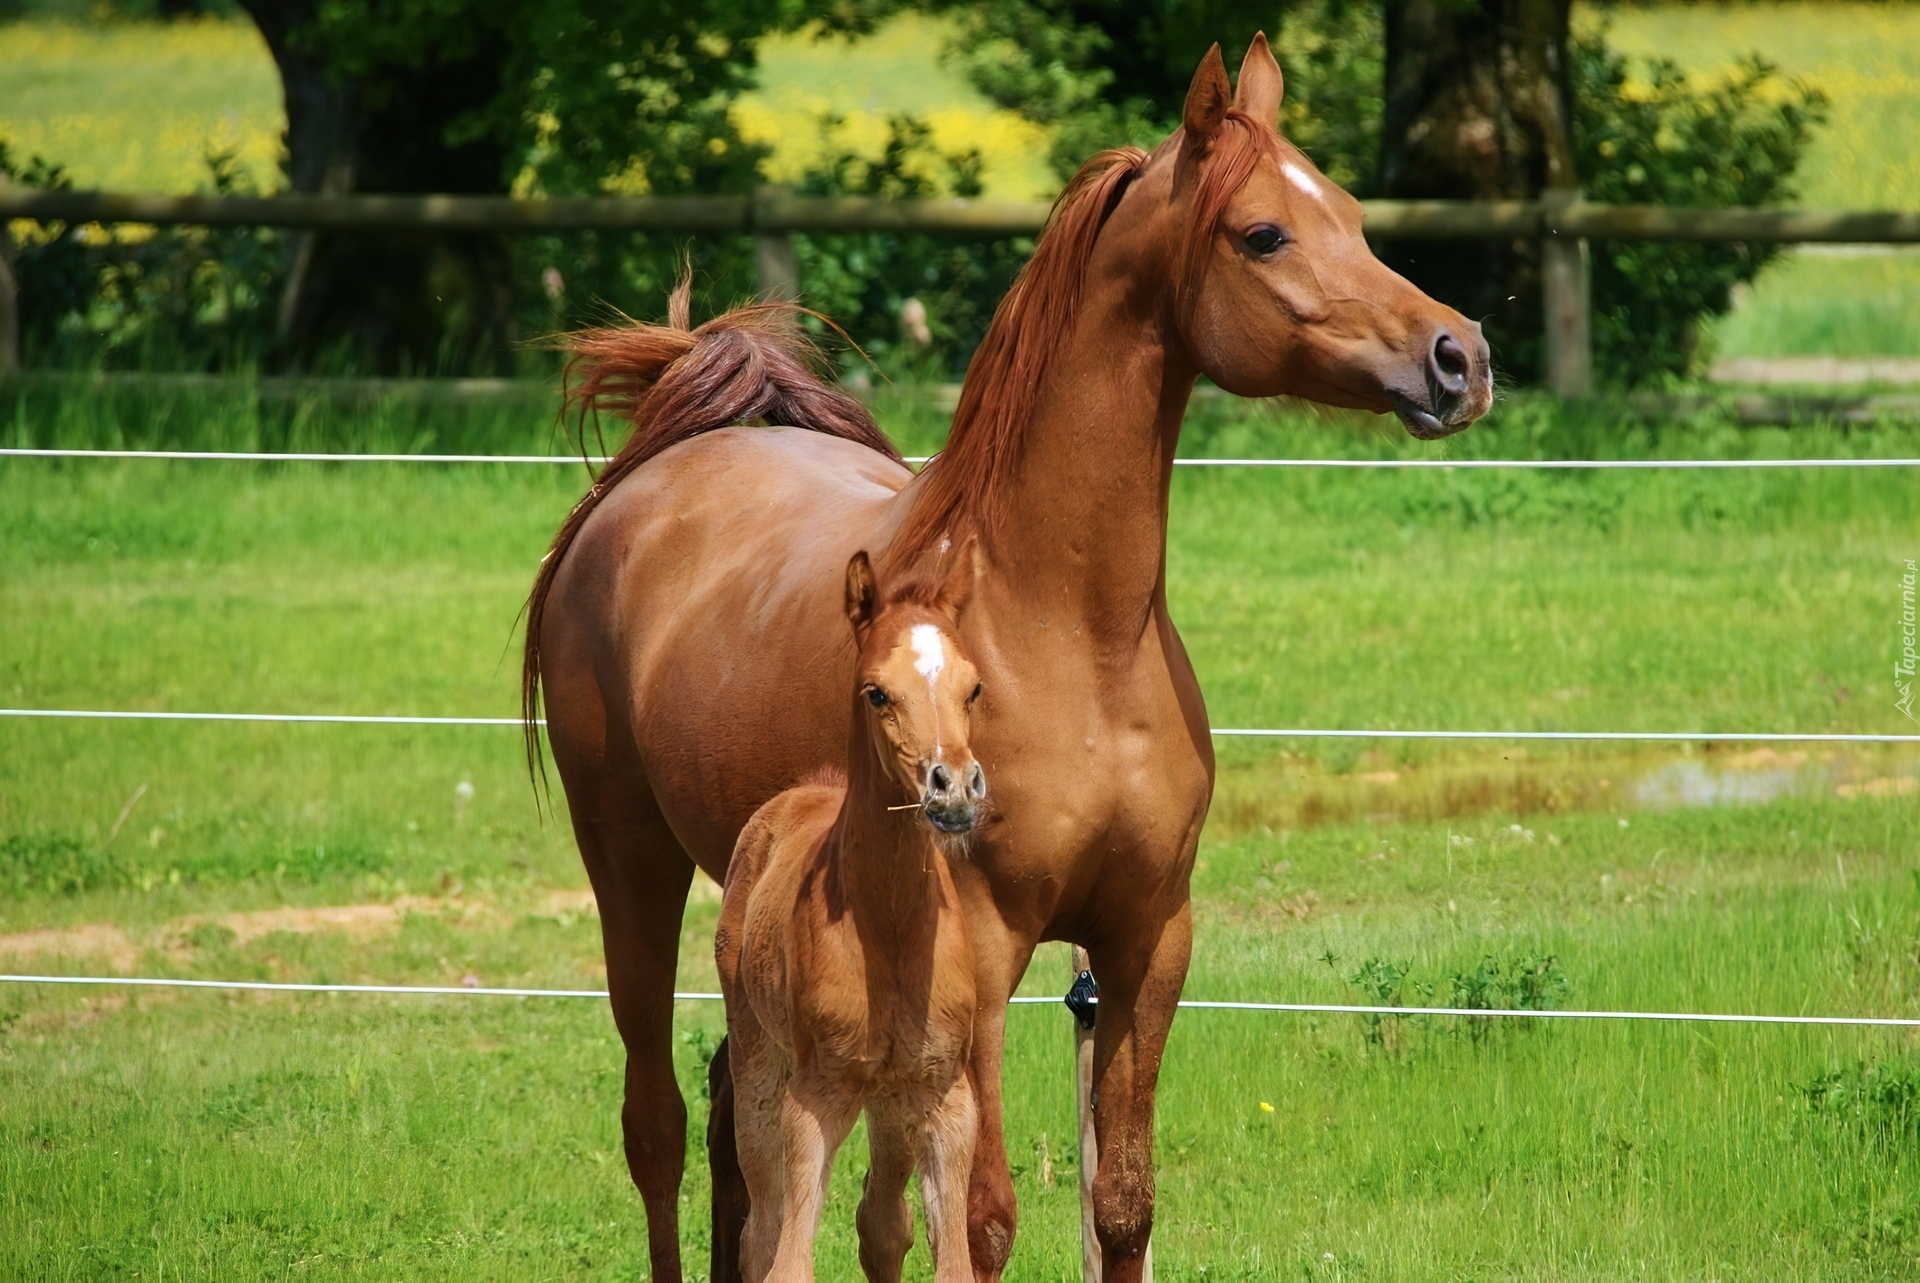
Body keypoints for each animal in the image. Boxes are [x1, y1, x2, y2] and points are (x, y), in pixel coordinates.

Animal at [721, 553, 990, 1283]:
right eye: (877, 692)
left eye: (974, 688)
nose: (955, 787)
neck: (890, 929)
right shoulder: (816, 1095)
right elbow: (788, 1259)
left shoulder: (943, 1094)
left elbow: (948, 1260)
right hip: (759, 1063)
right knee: (761, 1229)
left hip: (891, 1099)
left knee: (883, 1226)